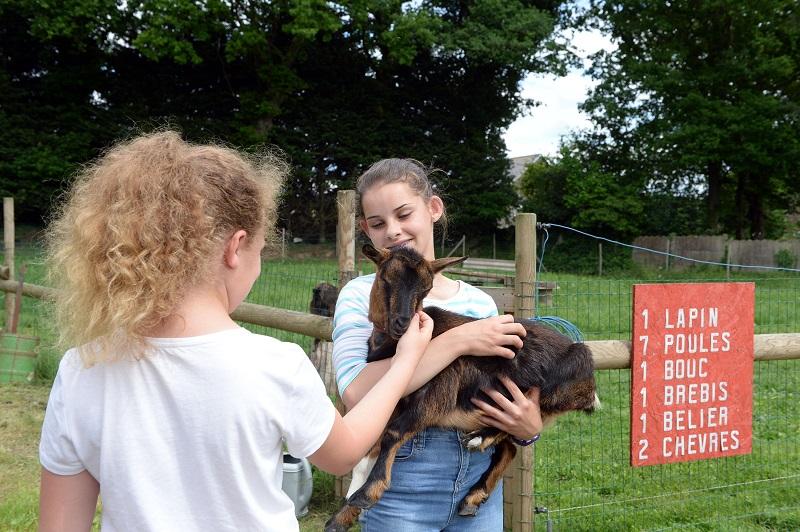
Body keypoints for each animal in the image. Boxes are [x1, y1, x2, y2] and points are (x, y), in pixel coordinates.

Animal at [324, 246, 600, 532]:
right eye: (385, 278)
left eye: (426, 288)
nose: (402, 323)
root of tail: (589, 388)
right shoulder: (390, 399)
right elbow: (367, 451)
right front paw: (341, 517)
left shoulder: (437, 393)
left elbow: (393, 433)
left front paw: (367, 494)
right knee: (509, 449)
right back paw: (472, 495)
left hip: (543, 396)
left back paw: (480, 440)